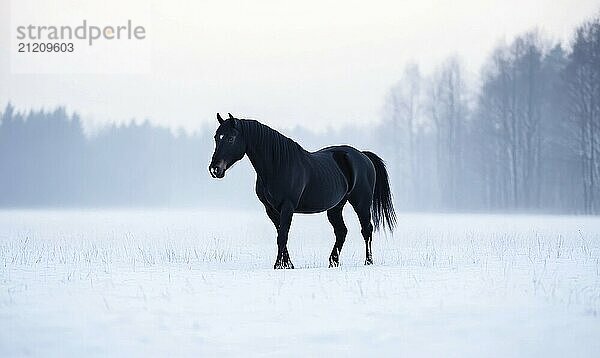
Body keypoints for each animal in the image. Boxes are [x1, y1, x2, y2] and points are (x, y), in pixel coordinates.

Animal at [209, 112, 396, 268]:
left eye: (231, 138)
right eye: (217, 137)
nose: (215, 169)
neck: (277, 165)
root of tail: (362, 156)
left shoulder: (287, 206)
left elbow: (282, 236)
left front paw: (278, 265)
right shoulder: (270, 209)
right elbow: (280, 234)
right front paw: (288, 265)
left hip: (361, 203)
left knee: (366, 229)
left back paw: (368, 262)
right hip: (336, 207)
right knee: (341, 231)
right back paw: (333, 262)